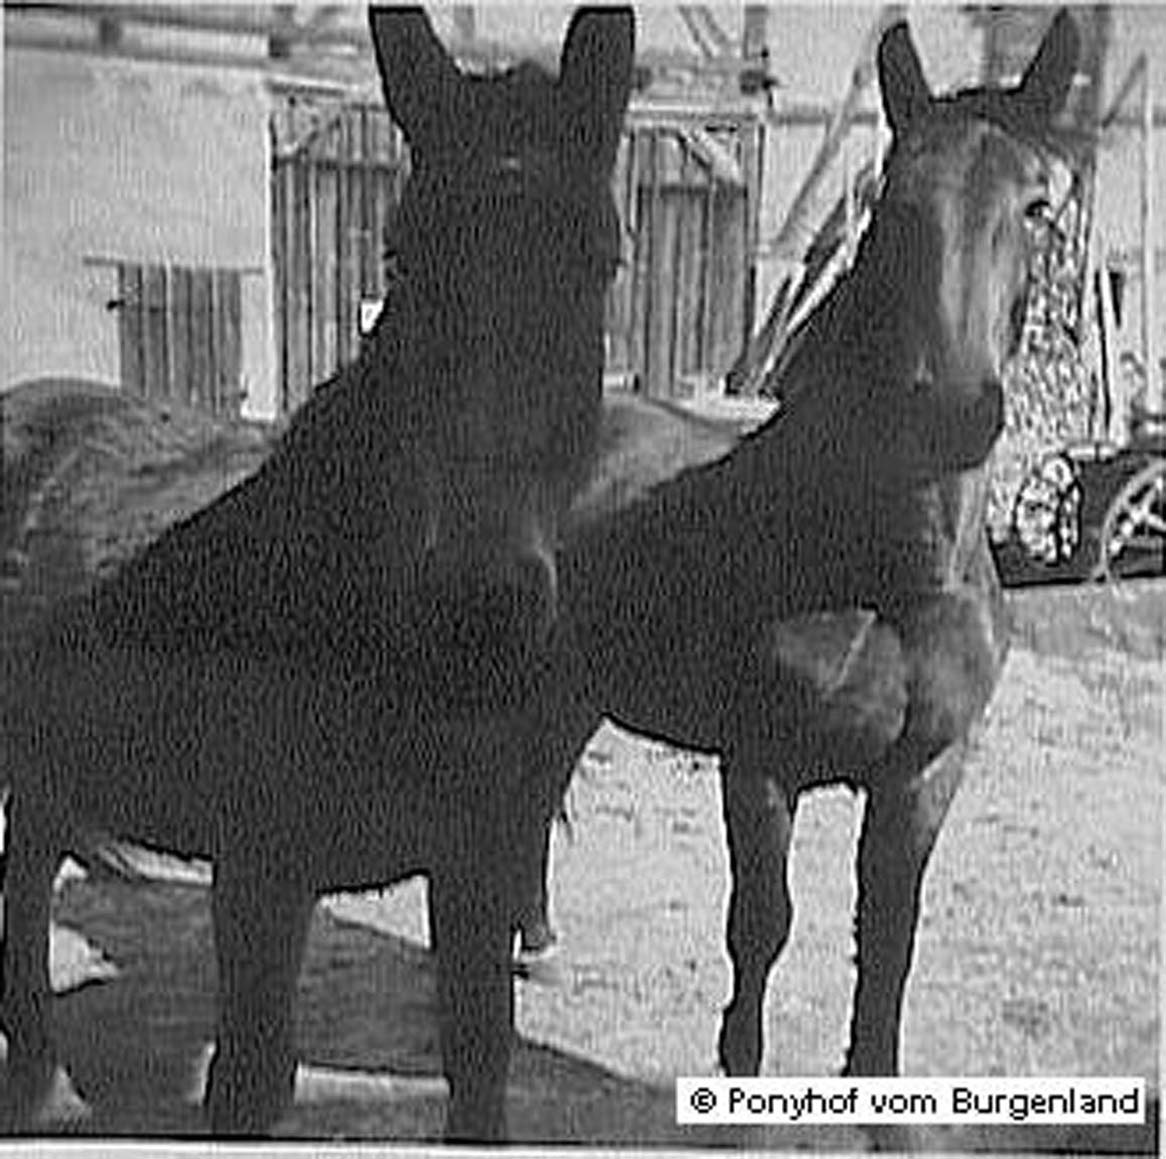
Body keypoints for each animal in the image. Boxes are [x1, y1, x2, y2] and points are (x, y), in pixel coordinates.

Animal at [0, 4, 635, 1138]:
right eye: (400, 250)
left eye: (599, 258)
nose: (479, 608)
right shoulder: (259, 876)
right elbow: (251, 1080)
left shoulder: (475, 869)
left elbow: (480, 1061)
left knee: (24, 878)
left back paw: (43, 1083)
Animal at [514, 7, 1082, 1093]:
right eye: (892, 203)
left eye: (1037, 206)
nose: (951, 410)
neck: (895, 567)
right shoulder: (760, 765)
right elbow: (761, 923)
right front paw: (738, 1074)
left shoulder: (923, 773)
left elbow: (889, 933)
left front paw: (874, 1089)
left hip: (573, 690)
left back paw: (538, 940)